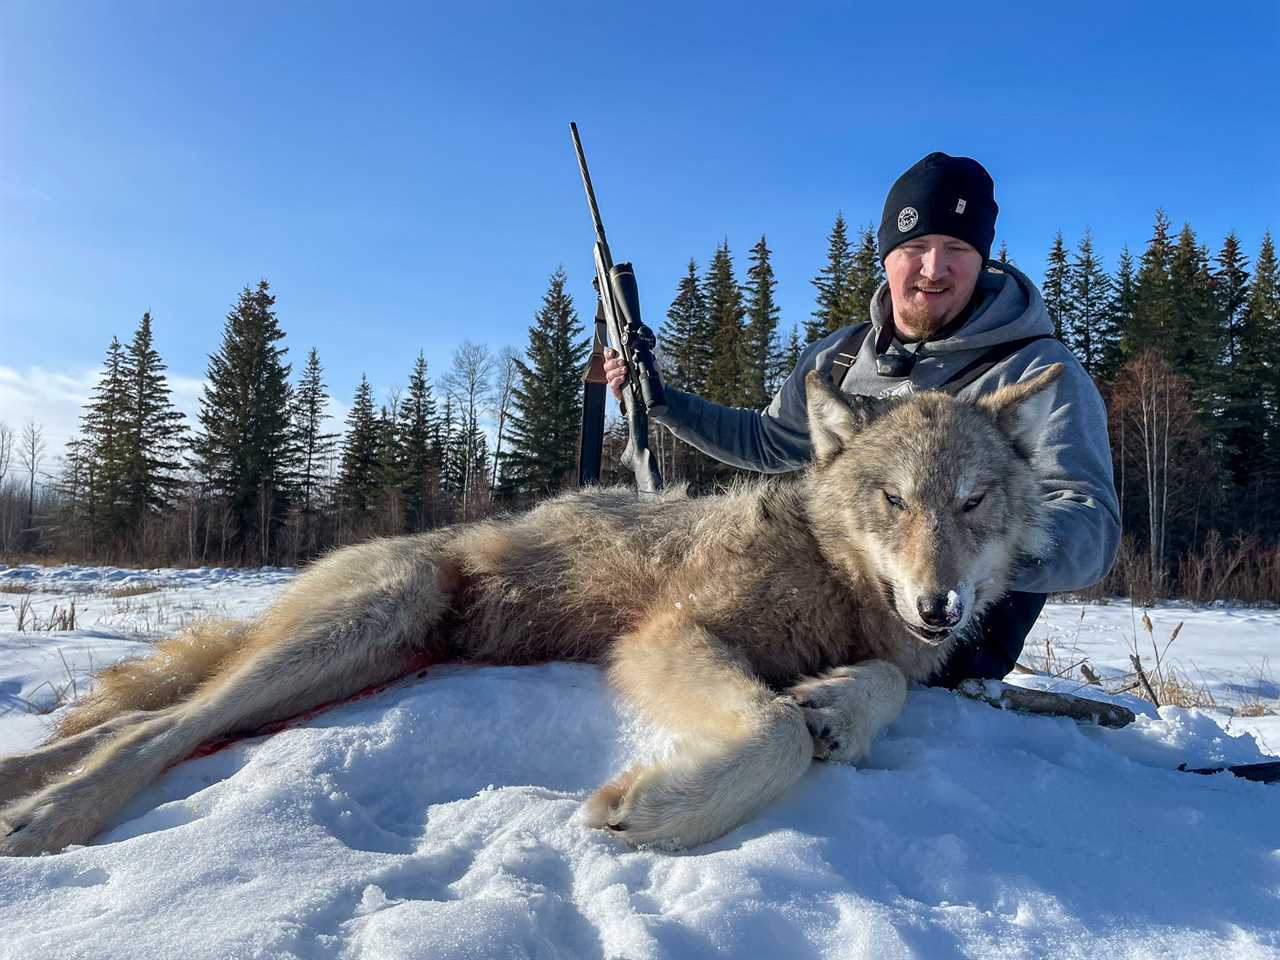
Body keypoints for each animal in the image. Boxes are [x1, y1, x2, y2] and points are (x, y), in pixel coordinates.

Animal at [0, 368, 1059, 855]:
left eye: (972, 502)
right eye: (895, 499)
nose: (940, 604)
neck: (834, 581)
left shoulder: (894, 650)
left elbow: (875, 689)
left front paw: (839, 704)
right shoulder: (668, 634)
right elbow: (774, 736)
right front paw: (652, 810)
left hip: (361, 667)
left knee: (145, 722)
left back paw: (25, 787)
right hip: (366, 624)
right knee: (156, 727)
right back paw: (47, 817)